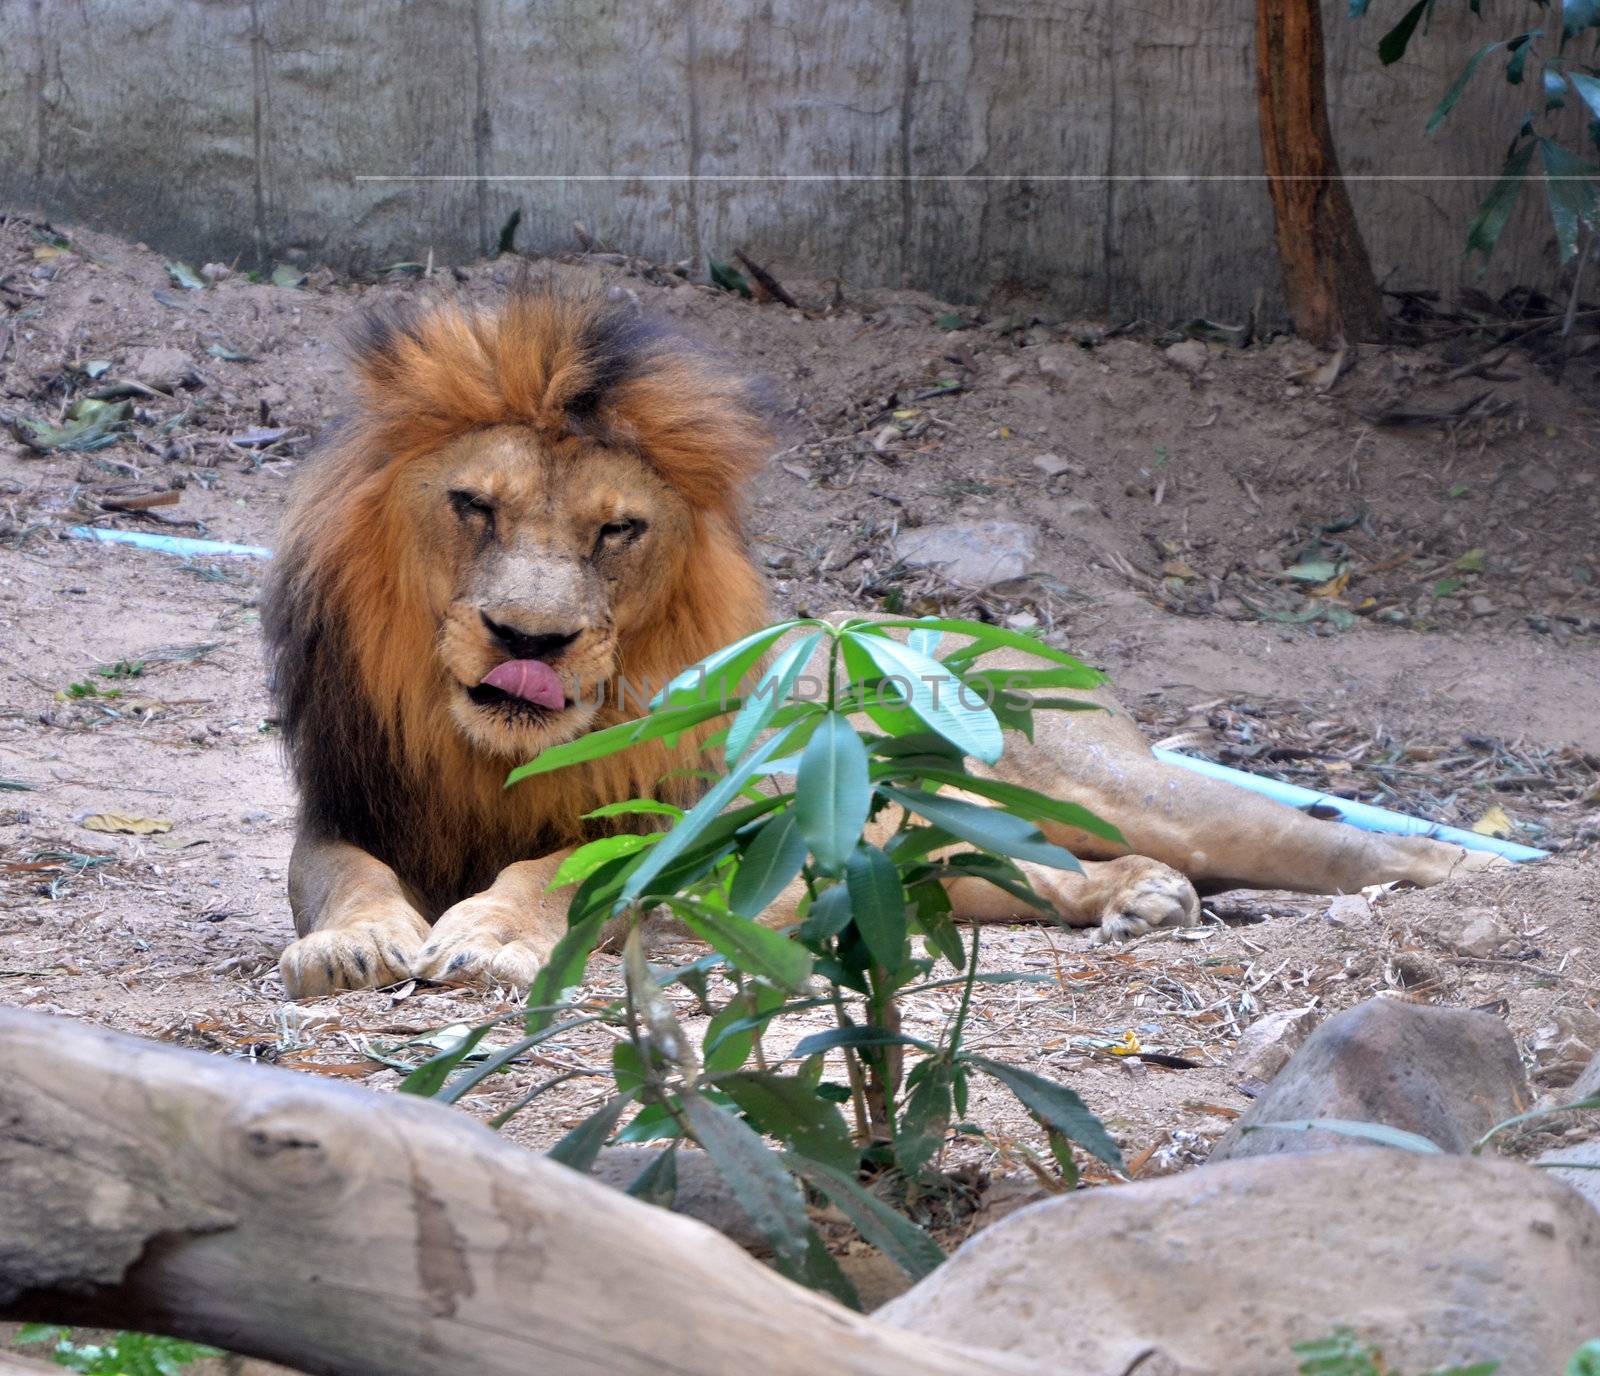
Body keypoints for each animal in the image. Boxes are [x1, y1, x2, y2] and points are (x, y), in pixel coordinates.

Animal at [262, 281, 1497, 998]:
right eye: (474, 505)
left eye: (618, 529)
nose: (533, 635)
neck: (489, 752)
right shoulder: (346, 806)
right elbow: (342, 876)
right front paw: (352, 945)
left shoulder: (669, 828)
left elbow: (556, 865)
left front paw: (485, 937)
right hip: (929, 852)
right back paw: (1139, 900)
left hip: (1113, 784)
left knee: (1332, 841)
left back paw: (1471, 880)